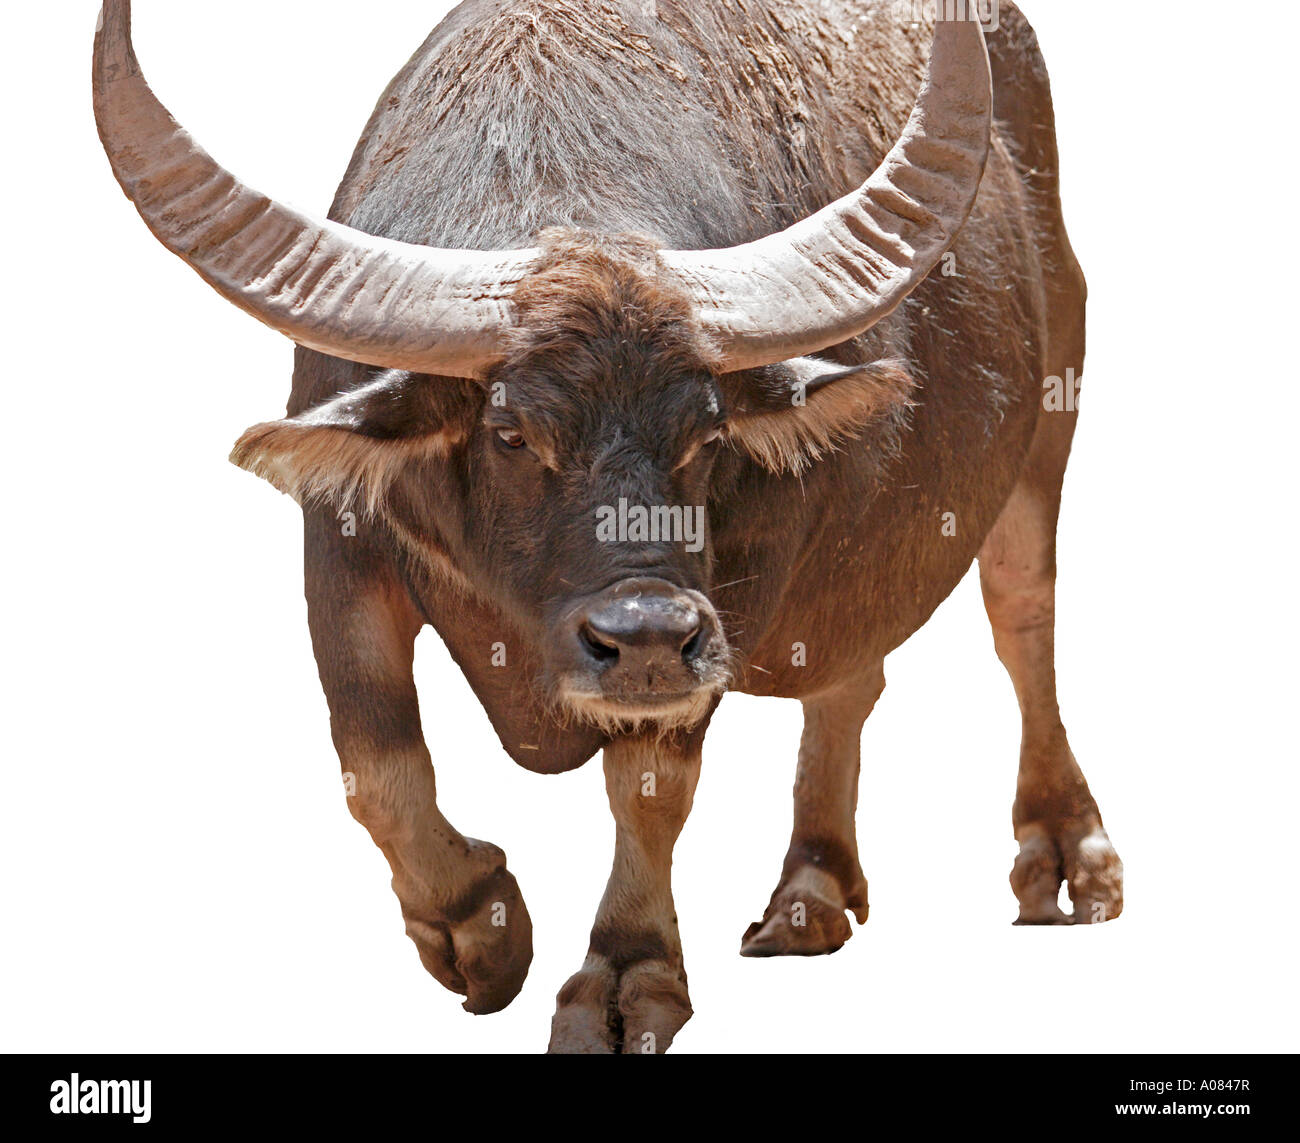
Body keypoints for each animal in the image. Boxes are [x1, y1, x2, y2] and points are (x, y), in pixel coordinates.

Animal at [93, 0, 1123, 1053]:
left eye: (707, 431)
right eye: (510, 431)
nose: (645, 636)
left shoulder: (721, 607)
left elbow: (649, 783)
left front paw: (625, 974)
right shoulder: (341, 546)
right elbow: (375, 762)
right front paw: (480, 928)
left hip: (1049, 420)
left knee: (1020, 616)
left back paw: (1064, 853)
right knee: (850, 673)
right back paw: (812, 888)